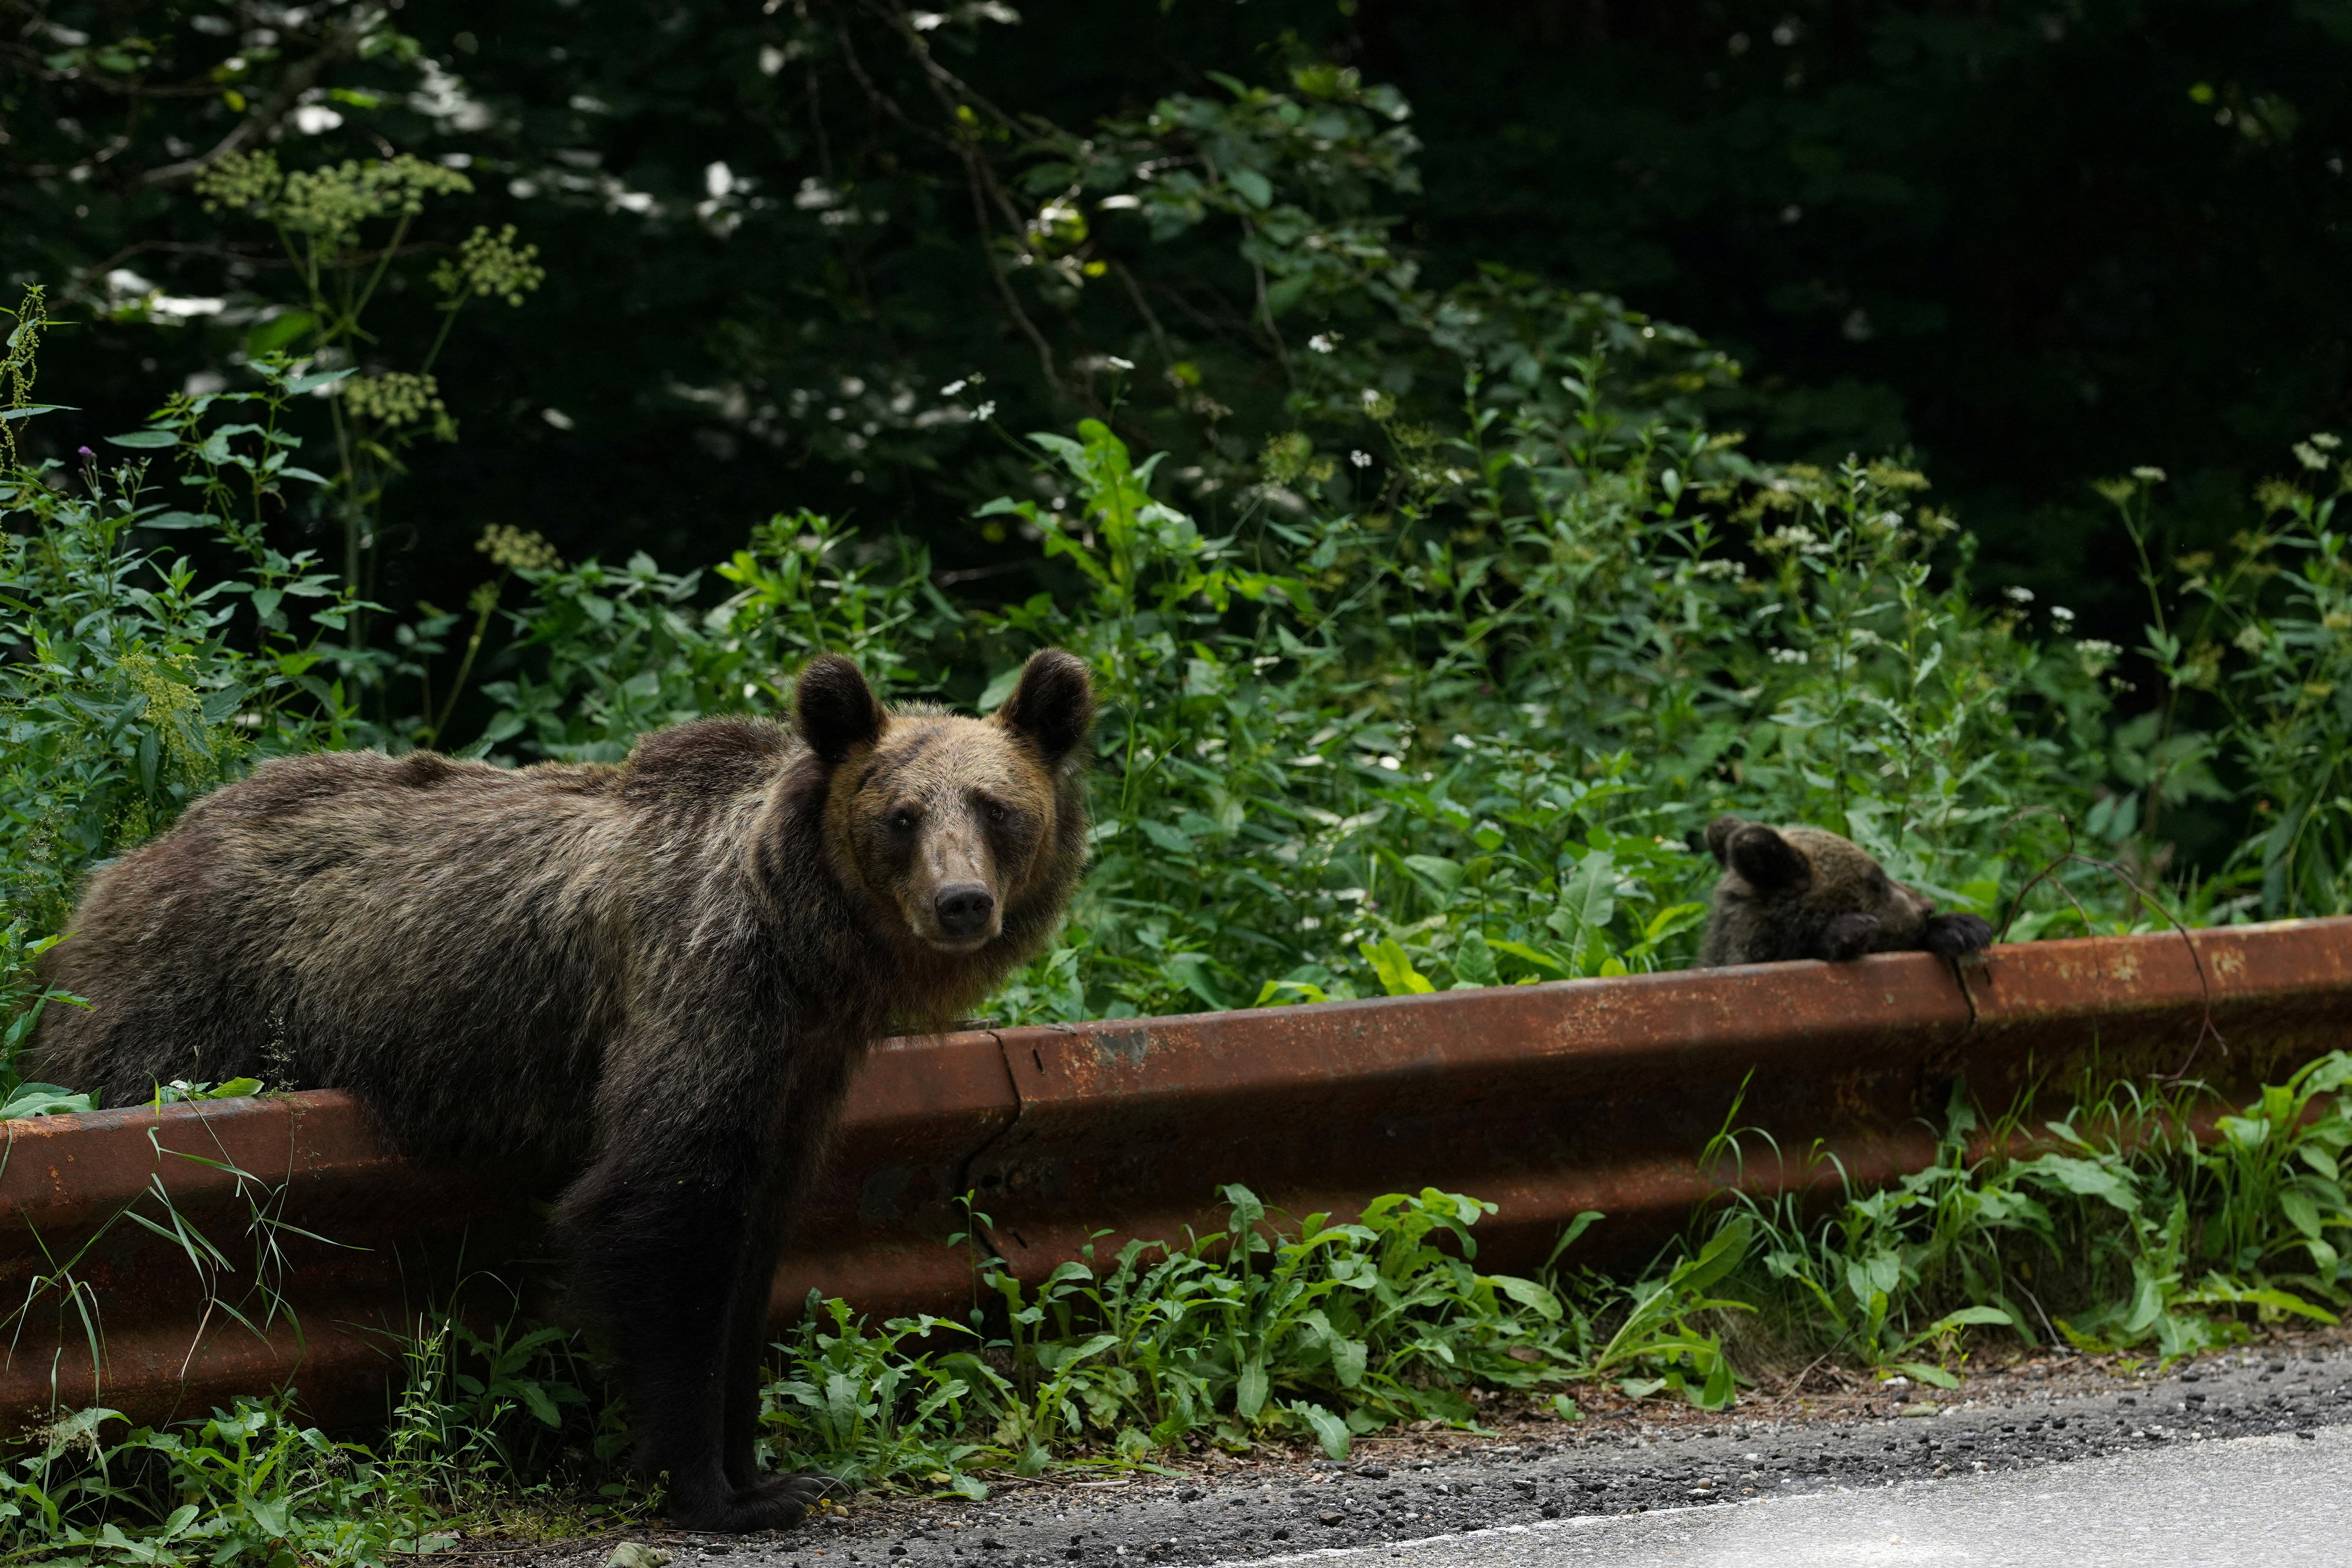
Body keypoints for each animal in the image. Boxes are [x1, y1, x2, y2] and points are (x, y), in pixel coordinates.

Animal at [32, 648, 1095, 1533]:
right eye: (901, 815)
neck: (809, 947)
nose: (961, 902)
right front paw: (716, 1490)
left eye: (997, 807)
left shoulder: (801, 1071)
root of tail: (129, 860)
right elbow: (662, 1214)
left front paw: (771, 1470)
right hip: (186, 1013)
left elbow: (757, 1242)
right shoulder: (699, 996)